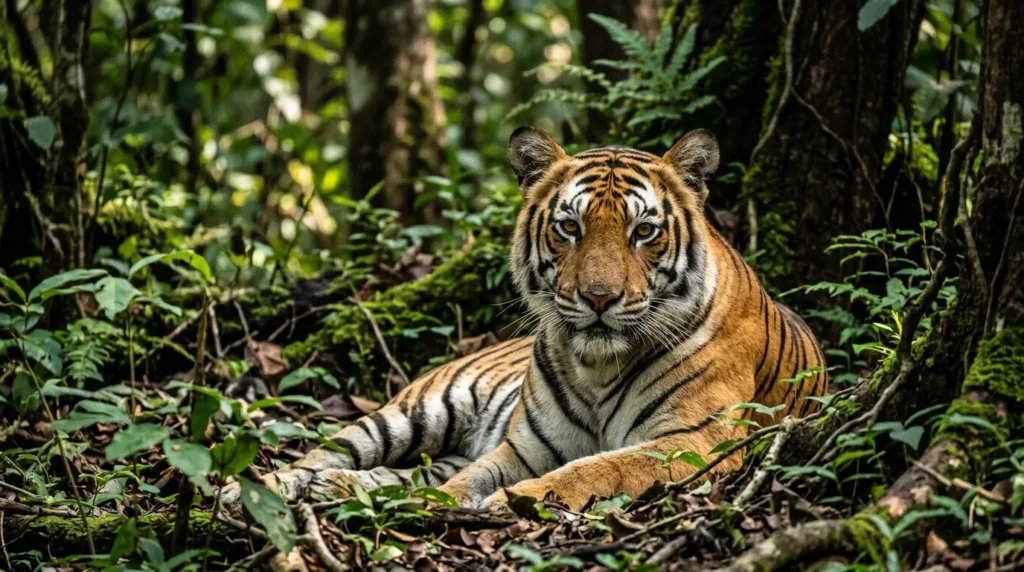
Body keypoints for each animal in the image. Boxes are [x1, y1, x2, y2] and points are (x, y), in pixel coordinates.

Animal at [221, 127, 827, 511]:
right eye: (570, 227)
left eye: (644, 231)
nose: (599, 298)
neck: (597, 366)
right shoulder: (525, 447)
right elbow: (475, 477)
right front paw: (458, 503)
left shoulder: (692, 441)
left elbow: (597, 469)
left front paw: (512, 502)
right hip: (409, 415)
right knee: (320, 455)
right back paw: (246, 492)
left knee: (396, 473)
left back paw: (340, 490)